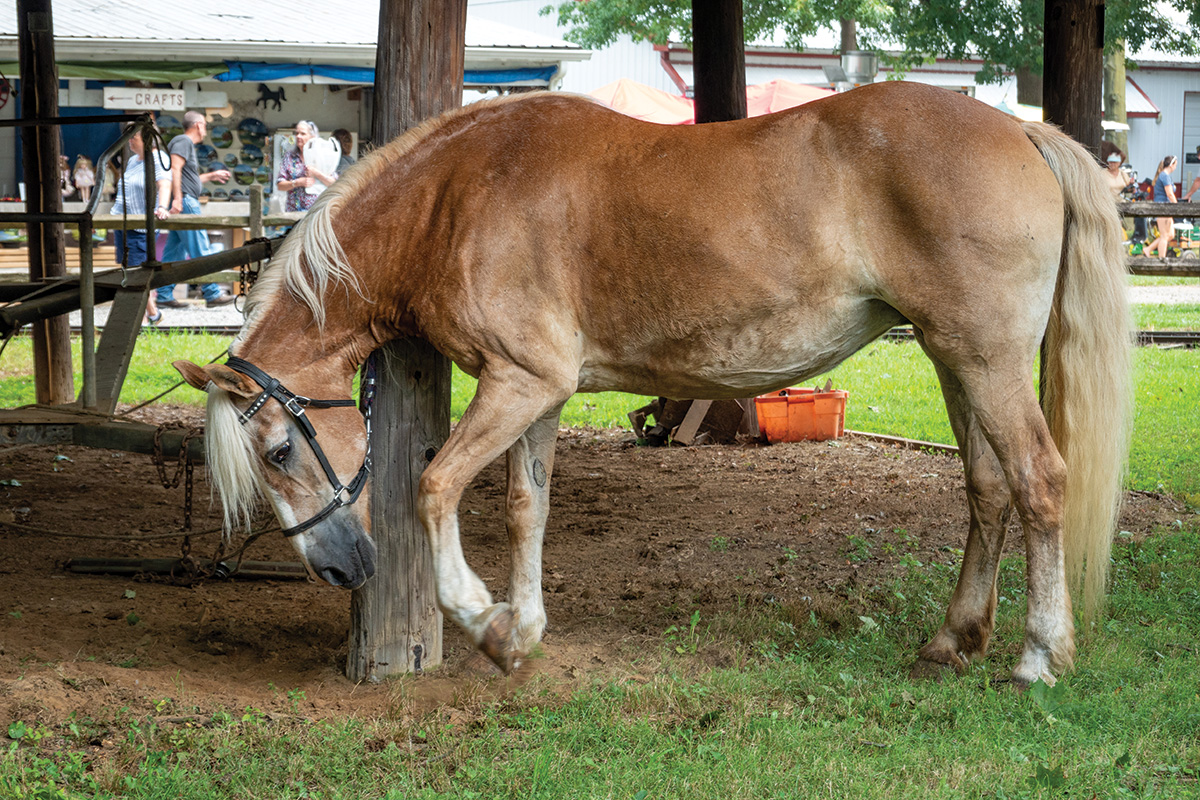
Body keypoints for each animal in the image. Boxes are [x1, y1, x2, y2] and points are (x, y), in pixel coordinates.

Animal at [174, 82, 1128, 690]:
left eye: (279, 448)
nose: (339, 569)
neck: (457, 199)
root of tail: (1020, 130)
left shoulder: (518, 383)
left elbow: (436, 486)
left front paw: (486, 625)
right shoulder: (539, 392)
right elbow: (527, 507)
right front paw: (525, 629)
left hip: (985, 359)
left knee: (1040, 482)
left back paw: (1040, 656)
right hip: (953, 358)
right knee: (988, 489)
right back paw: (953, 639)